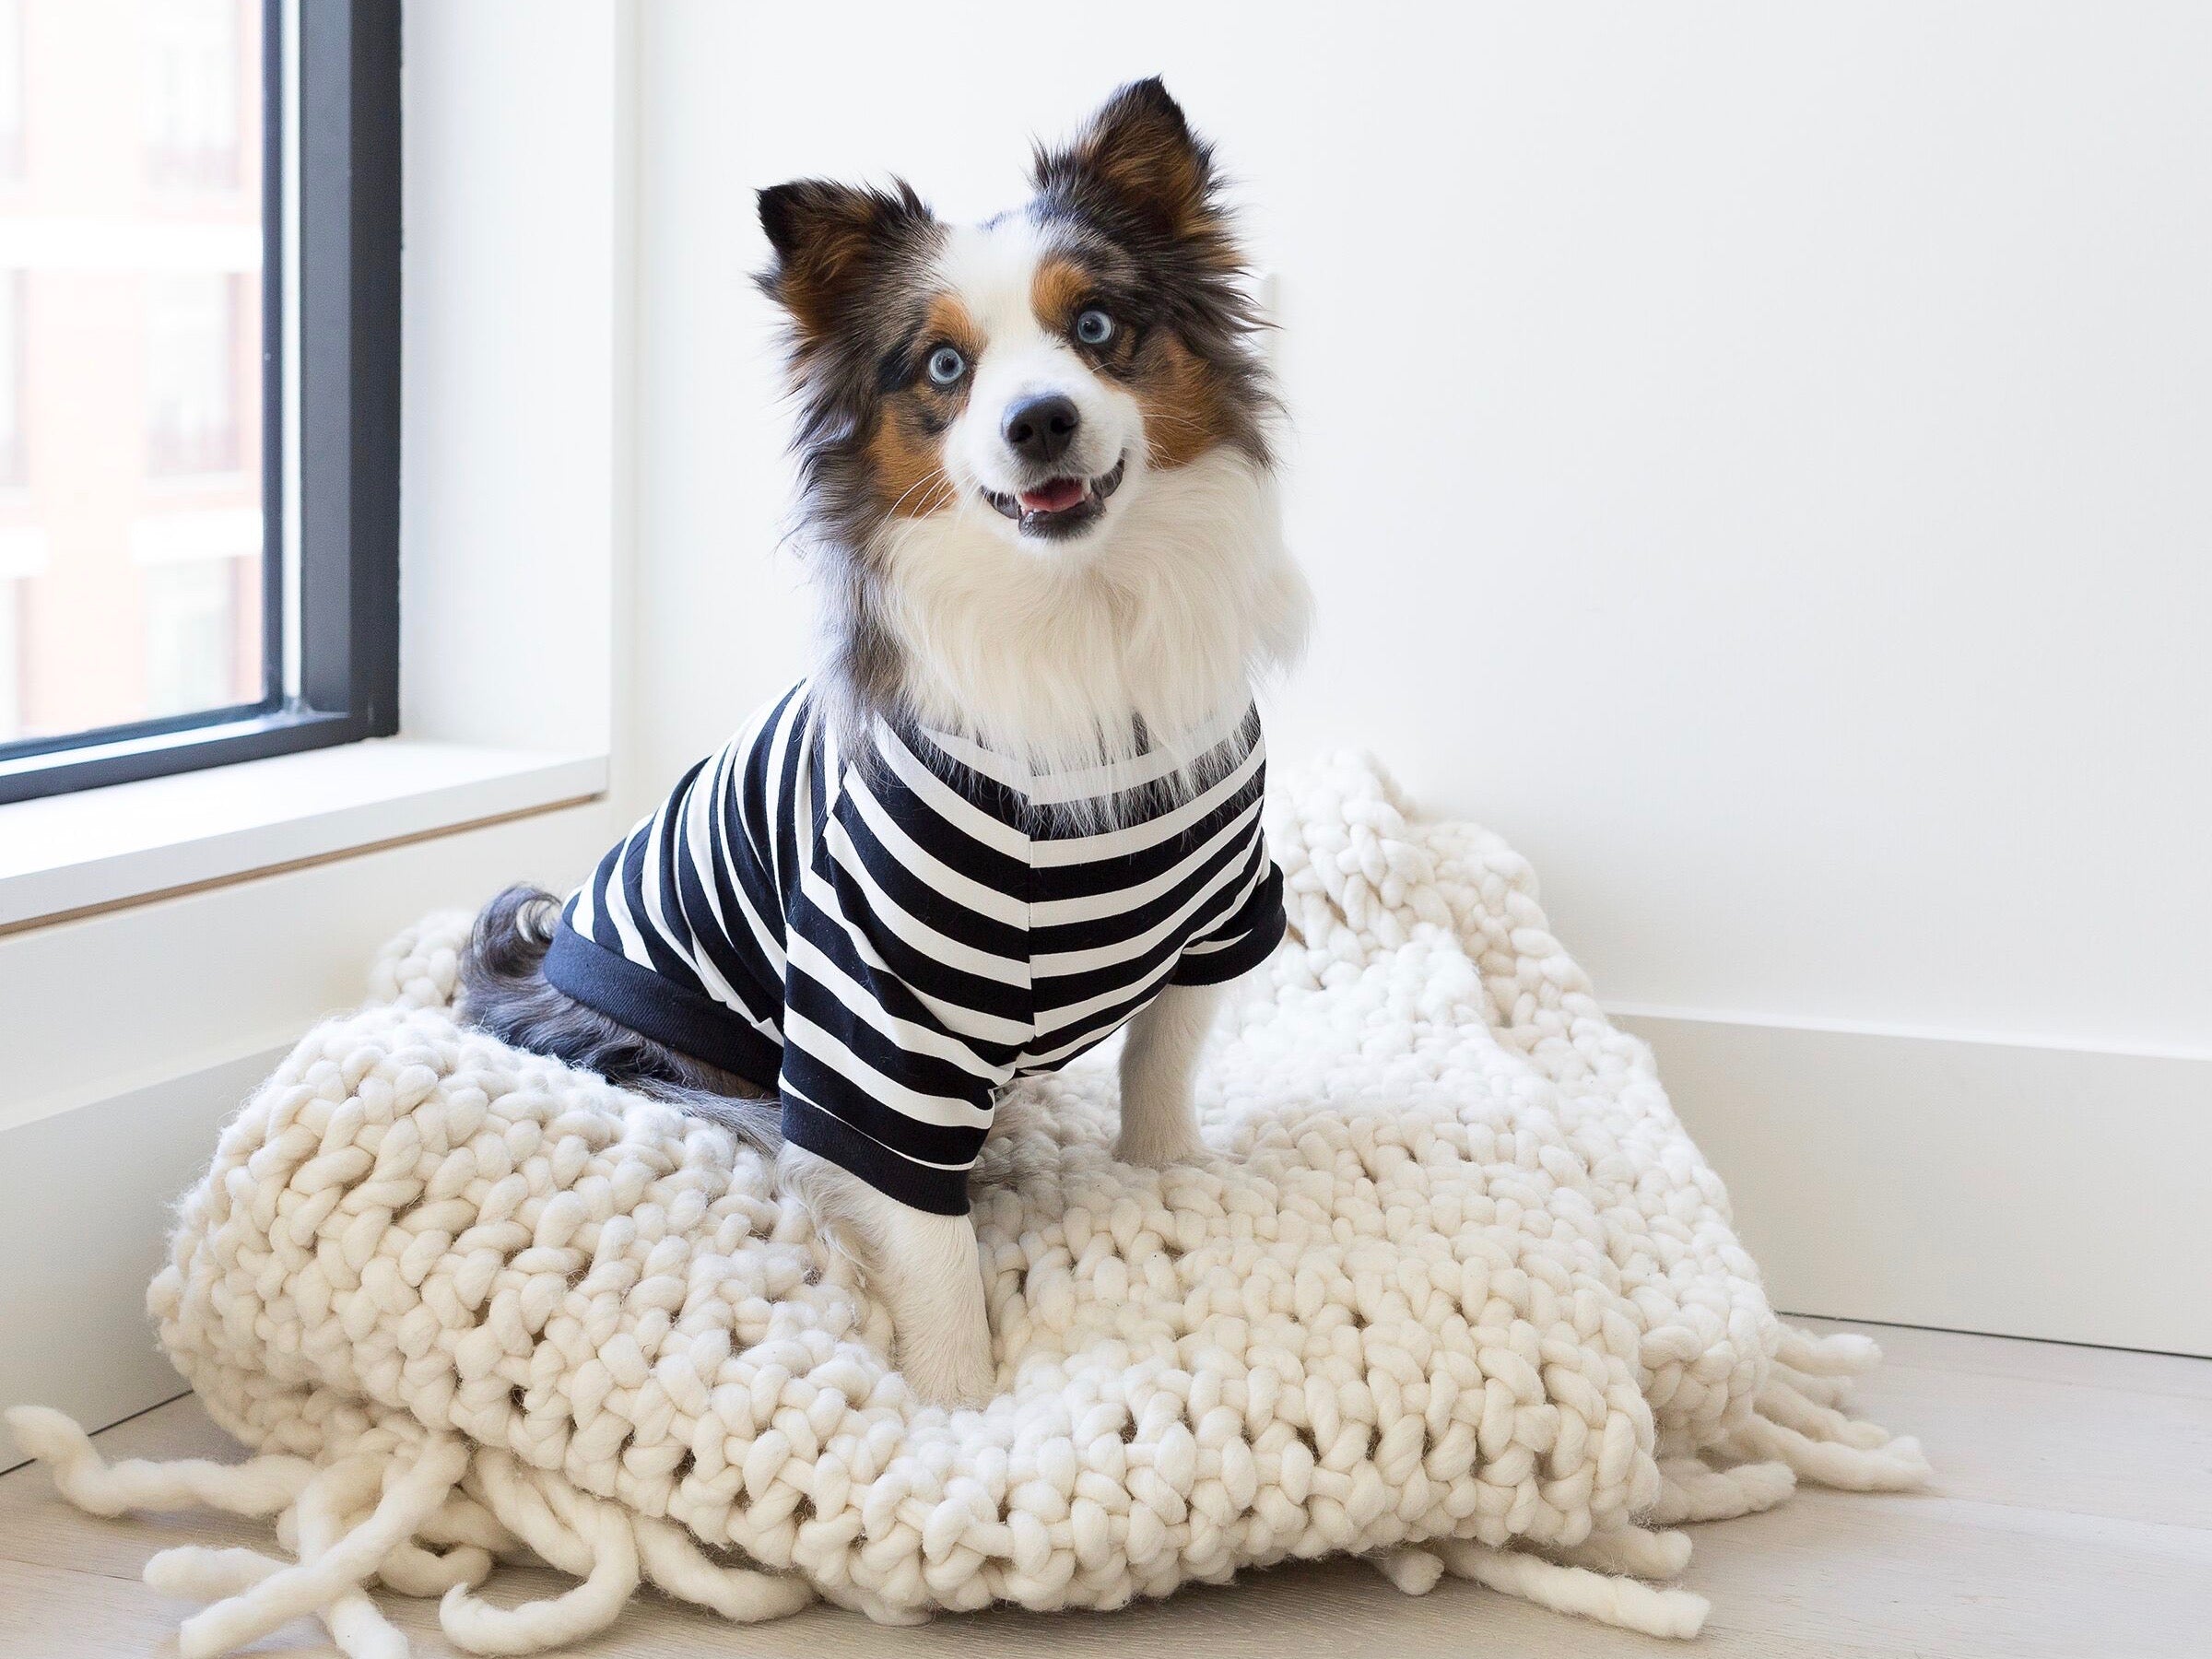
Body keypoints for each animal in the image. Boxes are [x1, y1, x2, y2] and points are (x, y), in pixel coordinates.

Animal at [457, 75, 1300, 1406]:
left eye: (1098, 326)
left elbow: (1159, 1076)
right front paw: (954, 1406)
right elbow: (927, 1239)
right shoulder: (875, 1014)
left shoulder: (1217, 919)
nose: (1040, 422)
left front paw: (1174, 1192)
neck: (1076, 624)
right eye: (946, 365)